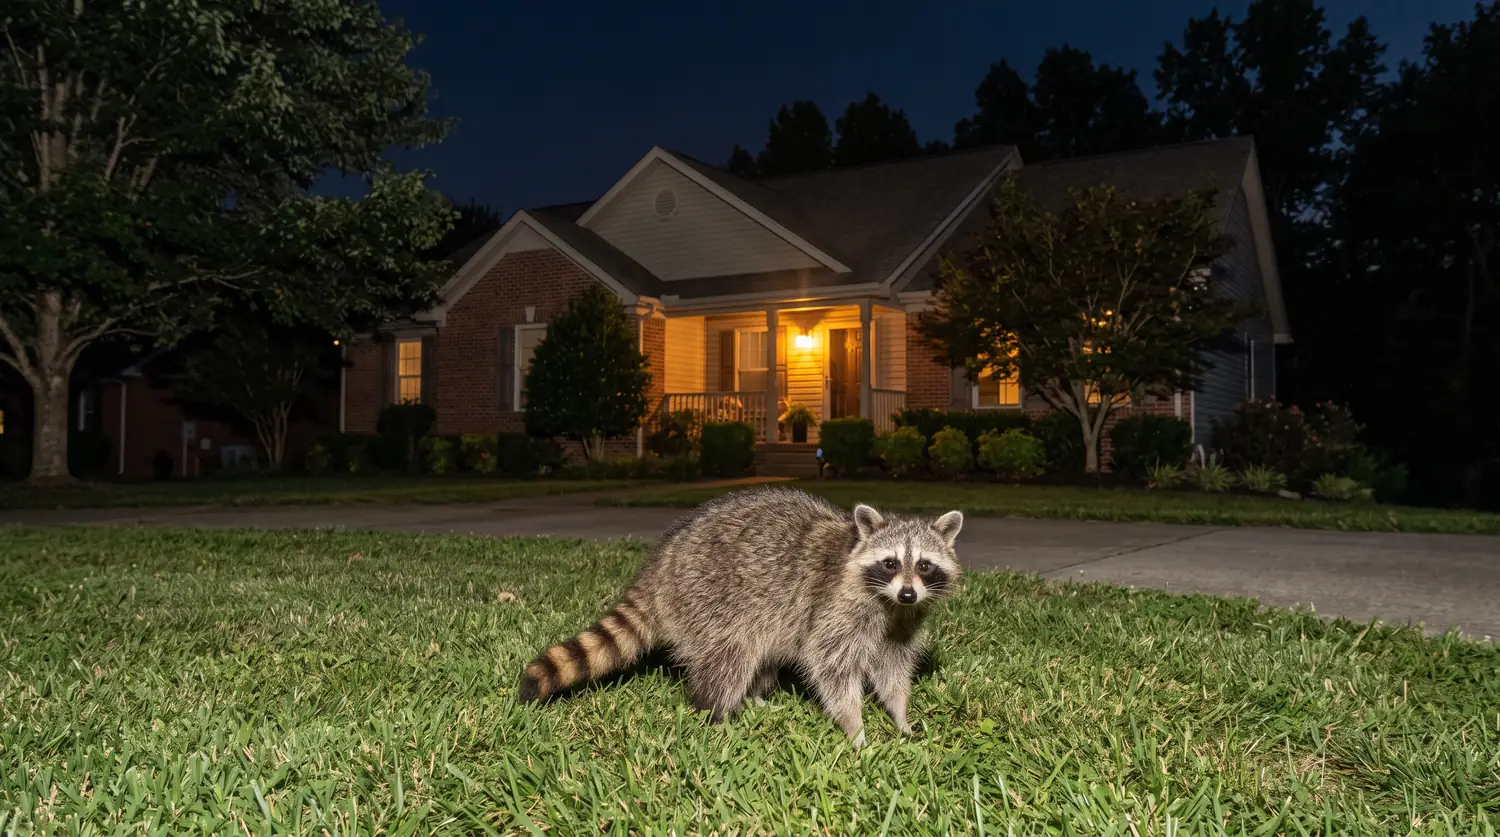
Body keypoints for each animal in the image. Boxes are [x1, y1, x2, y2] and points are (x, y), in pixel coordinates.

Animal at [517, 485, 964, 748]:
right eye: (890, 563)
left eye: (924, 566)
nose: (908, 592)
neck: (887, 602)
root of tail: (662, 562)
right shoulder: (835, 608)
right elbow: (831, 667)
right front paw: (855, 727)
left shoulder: (902, 621)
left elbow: (892, 667)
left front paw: (900, 716)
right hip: (710, 596)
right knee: (730, 656)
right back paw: (718, 712)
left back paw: (755, 699)